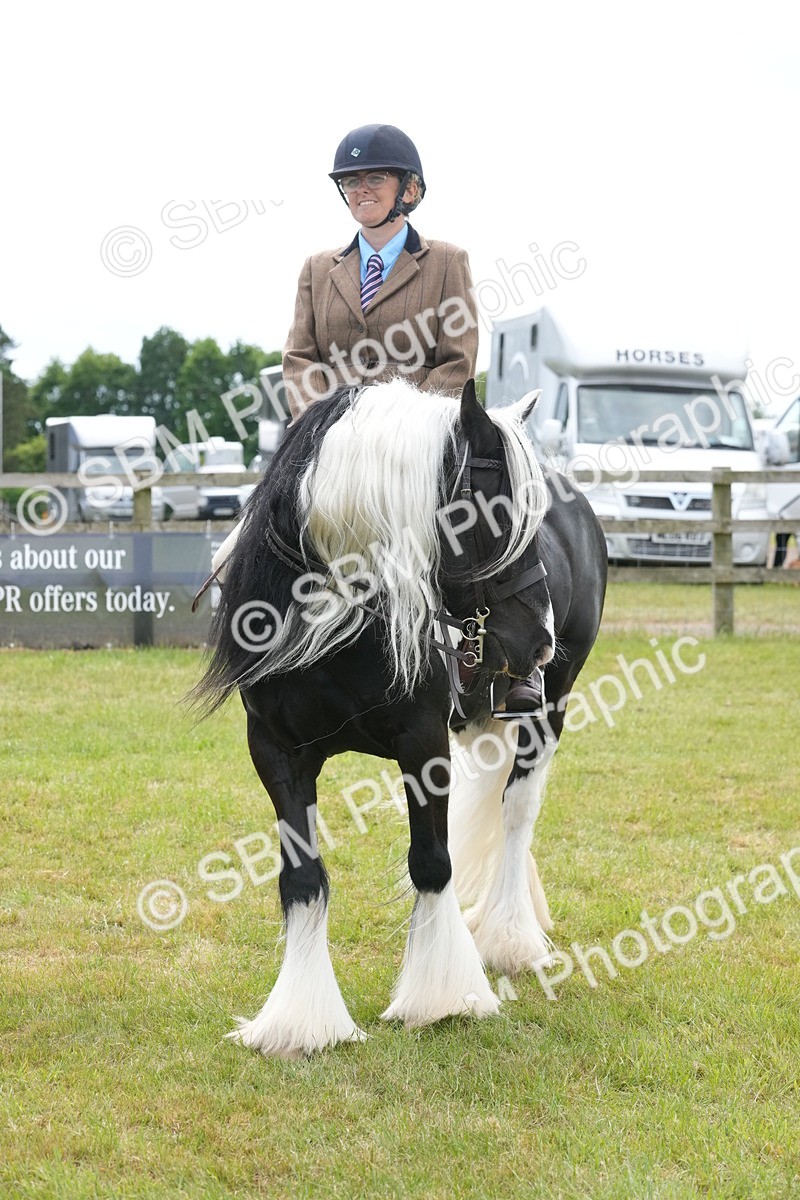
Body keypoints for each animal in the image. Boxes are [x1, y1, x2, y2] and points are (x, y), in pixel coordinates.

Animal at [191, 377, 607, 1058]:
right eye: (495, 512)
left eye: (533, 518)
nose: (539, 641)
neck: (338, 622)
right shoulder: (276, 751)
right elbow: (302, 877)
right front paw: (300, 1021)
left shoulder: (423, 744)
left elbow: (432, 862)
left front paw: (442, 998)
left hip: (549, 708)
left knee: (516, 812)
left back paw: (508, 937)